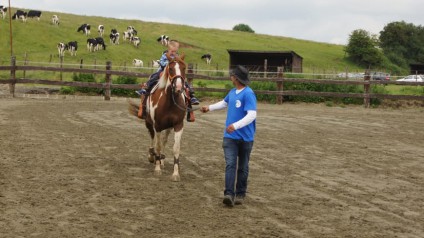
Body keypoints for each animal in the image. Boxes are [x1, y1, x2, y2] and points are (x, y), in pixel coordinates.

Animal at [128, 53, 188, 181]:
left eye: (184, 68)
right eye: (171, 69)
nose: (179, 87)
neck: (169, 102)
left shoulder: (178, 125)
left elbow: (176, 148)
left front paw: (175, 174)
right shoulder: (158, 125)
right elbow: (158, 146)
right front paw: (157, 169)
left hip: (168, 127)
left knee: (164, 140)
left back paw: (162, 160)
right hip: (149, 123)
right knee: (152, 137)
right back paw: (152, 156)